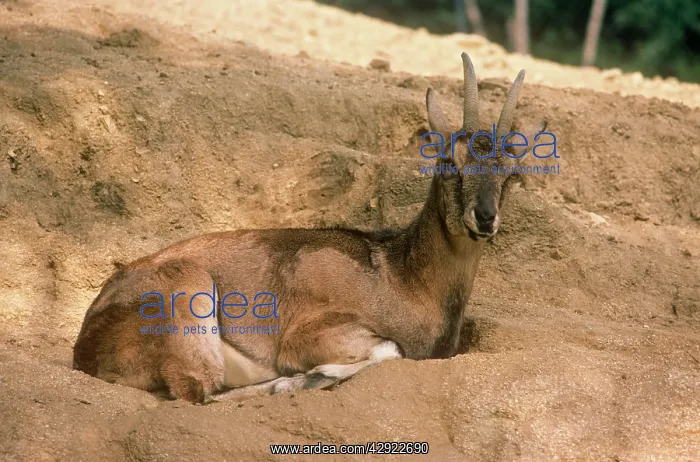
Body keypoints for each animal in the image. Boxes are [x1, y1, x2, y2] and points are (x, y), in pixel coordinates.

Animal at [73, 53, 546, 404]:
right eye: (451, 164)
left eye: (511, 175)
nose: (484, 218)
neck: (404, 279)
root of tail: (85, 349)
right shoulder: (312, 333)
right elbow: (391, 348)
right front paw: (313, 374)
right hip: (189, 297)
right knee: (197, 391)